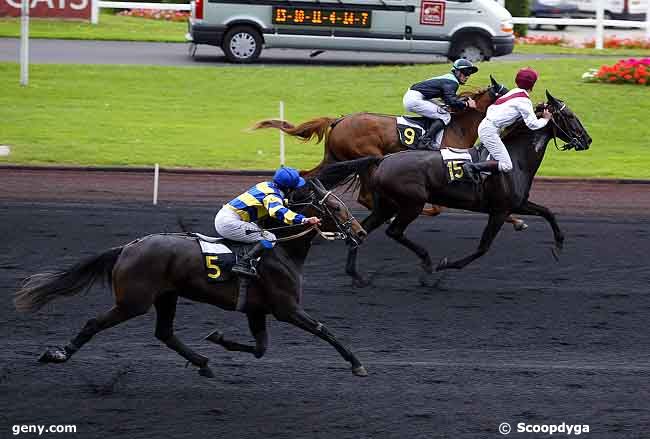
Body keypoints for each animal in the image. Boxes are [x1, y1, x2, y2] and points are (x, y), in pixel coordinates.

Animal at [13, 179, 370, 378]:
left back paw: (203, 362)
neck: (282, 249)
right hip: (134, 301)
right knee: (94, 323)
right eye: (336, 207)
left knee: (165, 333)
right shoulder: (287, 308)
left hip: (166, 296)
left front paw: (218, 338)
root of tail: (128, 247)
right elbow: (325, 330)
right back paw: (58, 354)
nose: (360, 232)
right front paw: (356, 363)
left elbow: (260, 348)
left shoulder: (256, 310)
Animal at [253, 75, 528, 230]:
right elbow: (438, 207)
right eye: (507, 93)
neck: (457, 125)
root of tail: (338, 120)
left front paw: (516, 220)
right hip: (366, 159)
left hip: (336, 158)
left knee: (308, 175)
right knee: (365, 196)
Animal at [316, 91, 588, 288]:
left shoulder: (518, 204)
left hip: (387, 204)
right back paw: (426, 262)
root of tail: (383, 160)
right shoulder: (500, 210)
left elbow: (547, 212)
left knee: (362, 230)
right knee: (394, 231)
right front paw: (445, 266)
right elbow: (483, 247)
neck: (514, 158)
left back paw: (356, 273)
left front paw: (558, 245)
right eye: (570, 116)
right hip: (411, 203)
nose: (587, 140)